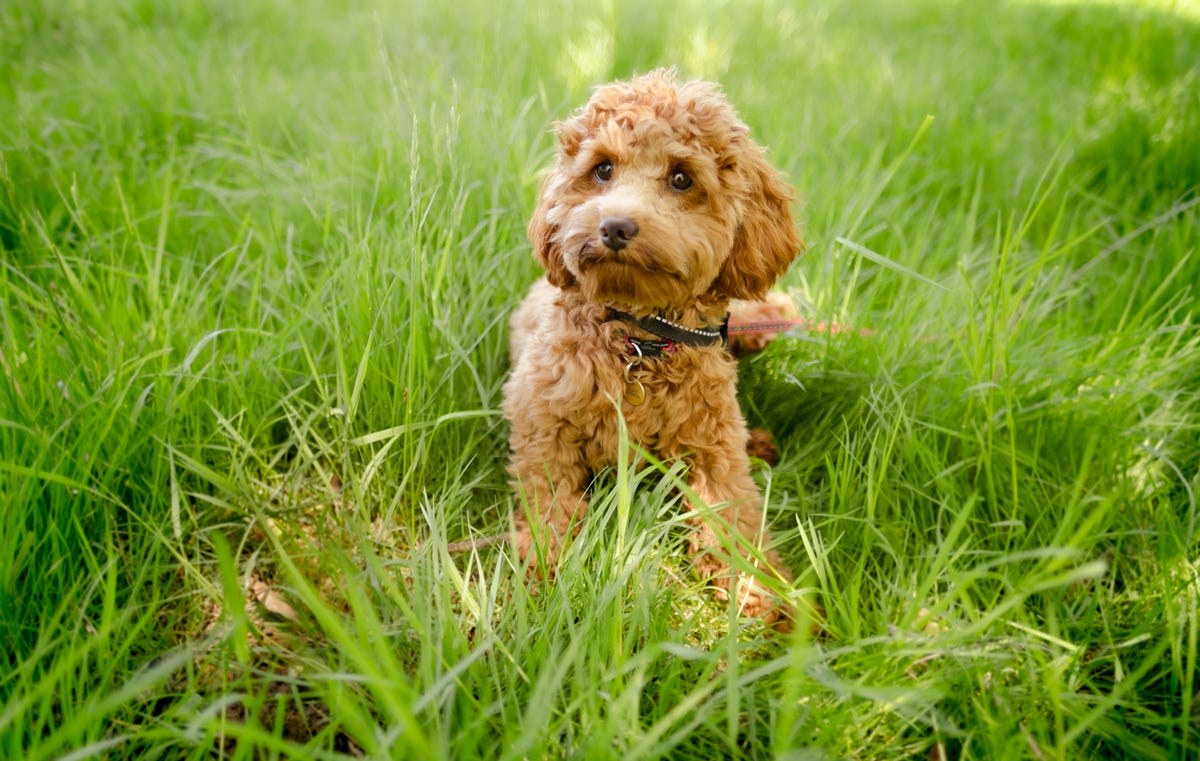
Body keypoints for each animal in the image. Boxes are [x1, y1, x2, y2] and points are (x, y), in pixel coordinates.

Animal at [501, 69, 801, 628]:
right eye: (602, 169)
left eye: (682, 178)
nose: (615, 226)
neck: (639, 339)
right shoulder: (541, 425)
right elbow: (548, 505)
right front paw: (542, 580)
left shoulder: (714, 449)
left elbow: (734, 517)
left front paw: (761, 597)